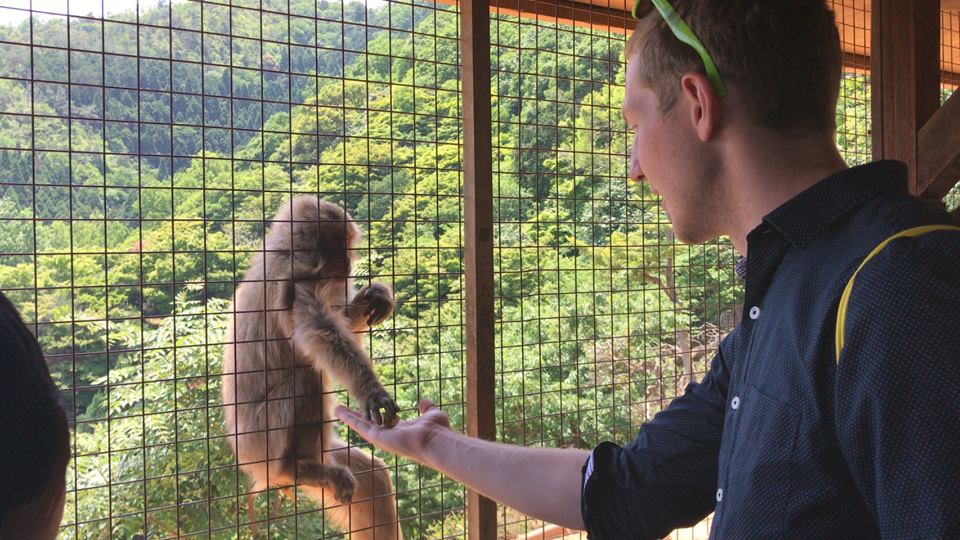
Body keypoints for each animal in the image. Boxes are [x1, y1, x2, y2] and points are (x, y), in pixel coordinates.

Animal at [223, 196, 404, 536]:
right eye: (338, 242)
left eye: (348, 243)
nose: (347, 262)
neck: (284, 253)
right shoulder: (295, 280)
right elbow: (322, 335)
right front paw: (372, 392)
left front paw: (375, 295)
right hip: (262, 443)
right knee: (307, 378)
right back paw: (295, 469)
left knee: (371, 477)